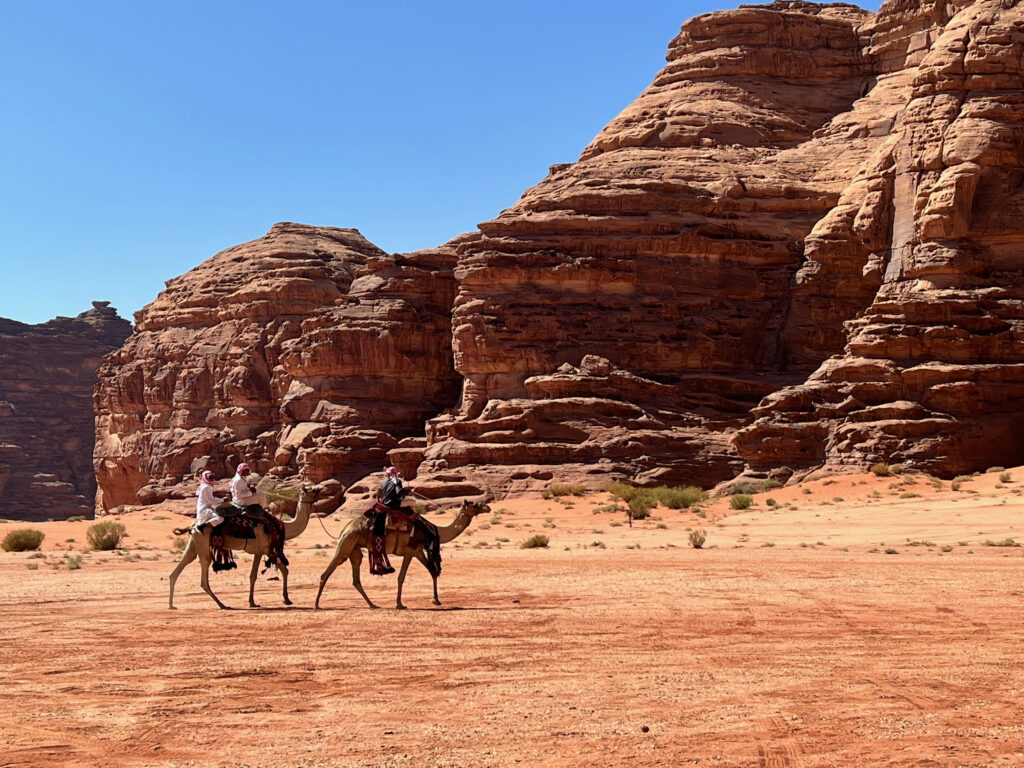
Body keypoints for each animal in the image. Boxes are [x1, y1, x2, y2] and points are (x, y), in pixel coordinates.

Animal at [169, 484, 326, 610]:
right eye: (310, 489)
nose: (321, 488)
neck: (282, 527)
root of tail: (193, 526)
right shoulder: (267, 549)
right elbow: (280, 571)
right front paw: (284, 600)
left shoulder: (261, 551)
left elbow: (257, 575)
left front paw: (255, 602)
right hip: (203, 542)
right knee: (204, 571)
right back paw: (222, 605)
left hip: (193, 543)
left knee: (181, 565)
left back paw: (171, 605)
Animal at [314, 499, 491, 610]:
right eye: (474, 504)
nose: (488, 507)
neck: (433, 530)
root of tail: (345, 528)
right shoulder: (409, 551)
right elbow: (401, 577)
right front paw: (399, 604)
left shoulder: (418, 551)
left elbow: (433, 571)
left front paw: (436, 600)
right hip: (347, 543)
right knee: (328, 571)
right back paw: (316, 604)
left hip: (355, 549)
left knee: (356, 578)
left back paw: (372, 605)